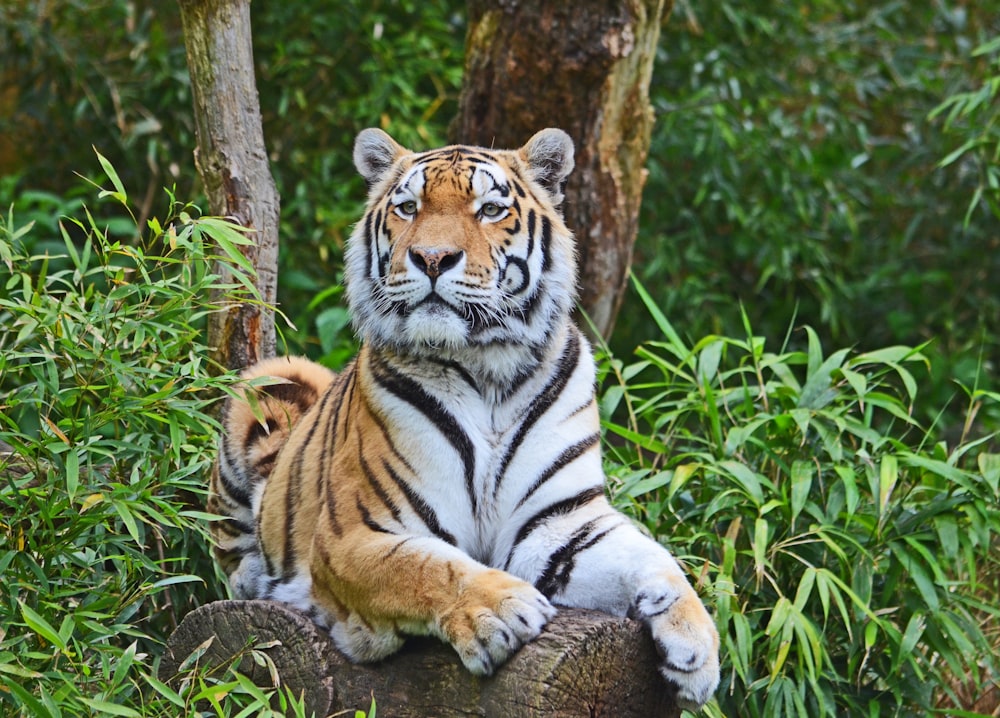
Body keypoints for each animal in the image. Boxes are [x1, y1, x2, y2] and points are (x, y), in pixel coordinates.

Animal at [211, 126, 724, 712]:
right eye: (408, 207)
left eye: (490, 209)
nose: (432, 258)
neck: (489, 369)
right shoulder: (353, 536)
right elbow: (427, 566)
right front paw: (502, 609)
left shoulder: (561, 522)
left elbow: (655, 559)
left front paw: (696, 647)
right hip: (271, 377)